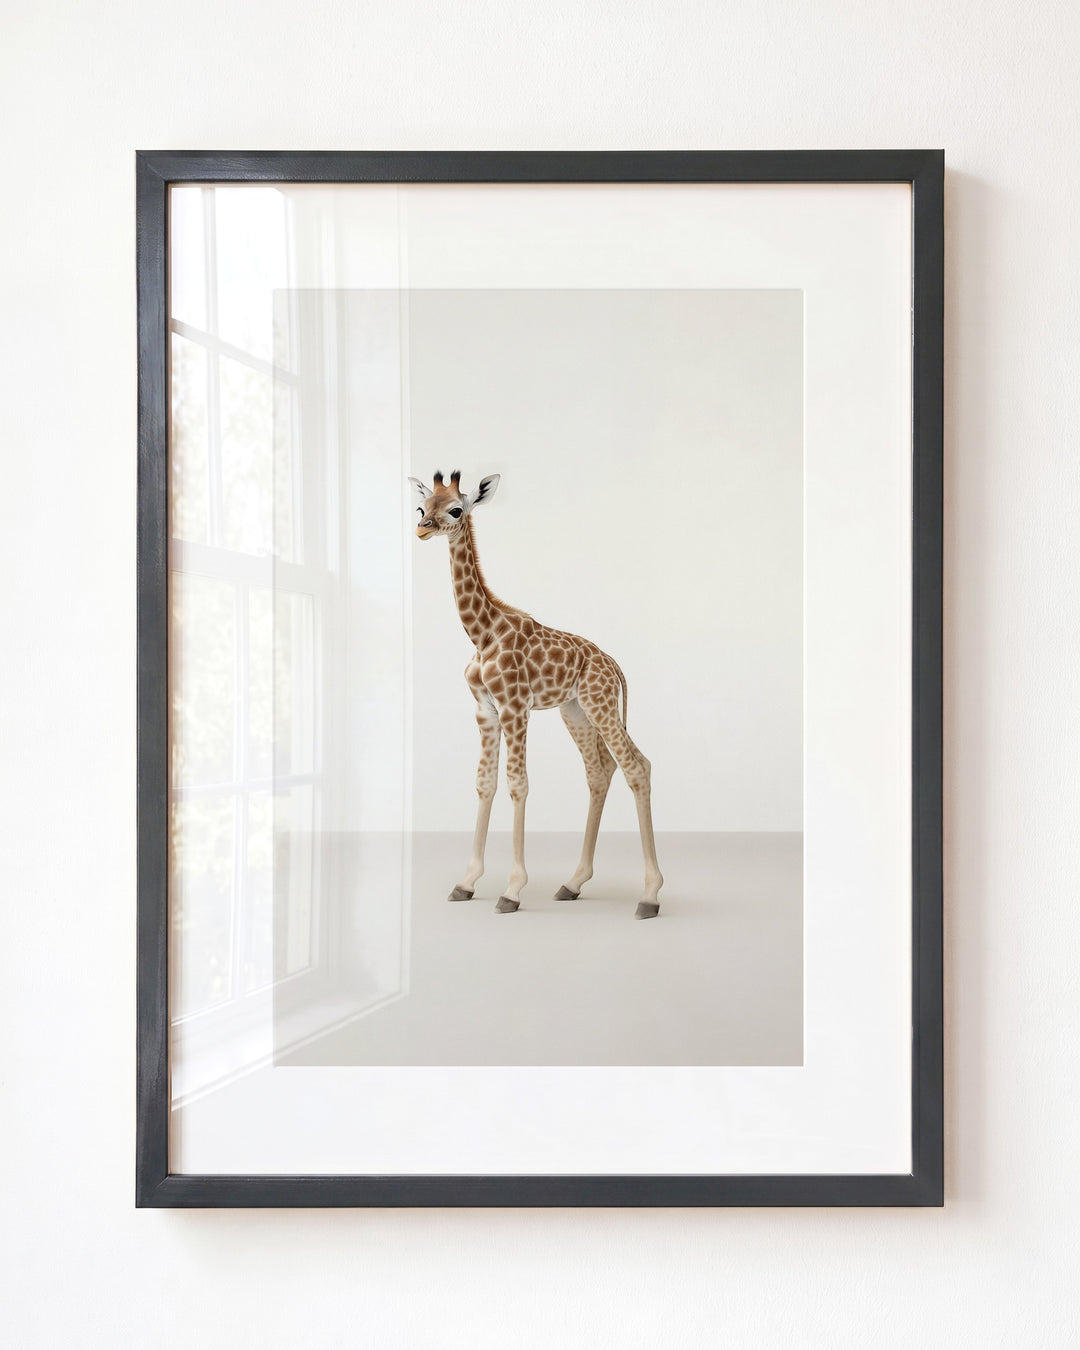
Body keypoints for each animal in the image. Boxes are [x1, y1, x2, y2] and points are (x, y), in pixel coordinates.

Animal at [409, 469, 663, 919]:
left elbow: (518, 784)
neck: (482, 633)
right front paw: (466, 883)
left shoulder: (515, 707)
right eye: (422, 506)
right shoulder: (485, 710)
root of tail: (613, 664)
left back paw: (649, 896)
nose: (421, 528)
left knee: (635, 767)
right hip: (576, 710)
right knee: (602, 770)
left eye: (455, 509)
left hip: (599, 704)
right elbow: (485, 783)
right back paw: (573, 883)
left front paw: (512, 890)